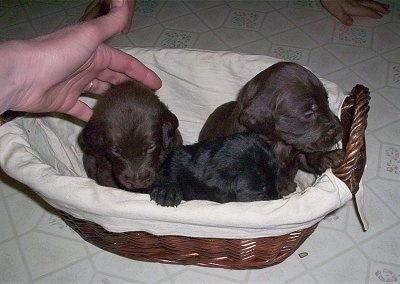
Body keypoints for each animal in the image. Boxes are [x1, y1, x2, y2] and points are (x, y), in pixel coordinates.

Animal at [200, 61, 344, 195]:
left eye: (326, 102)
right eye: (308, 114)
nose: (340, 132)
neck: (280, 144)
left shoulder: (296, 152)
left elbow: (307, 157)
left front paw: (329, 157)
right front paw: (283, 185)